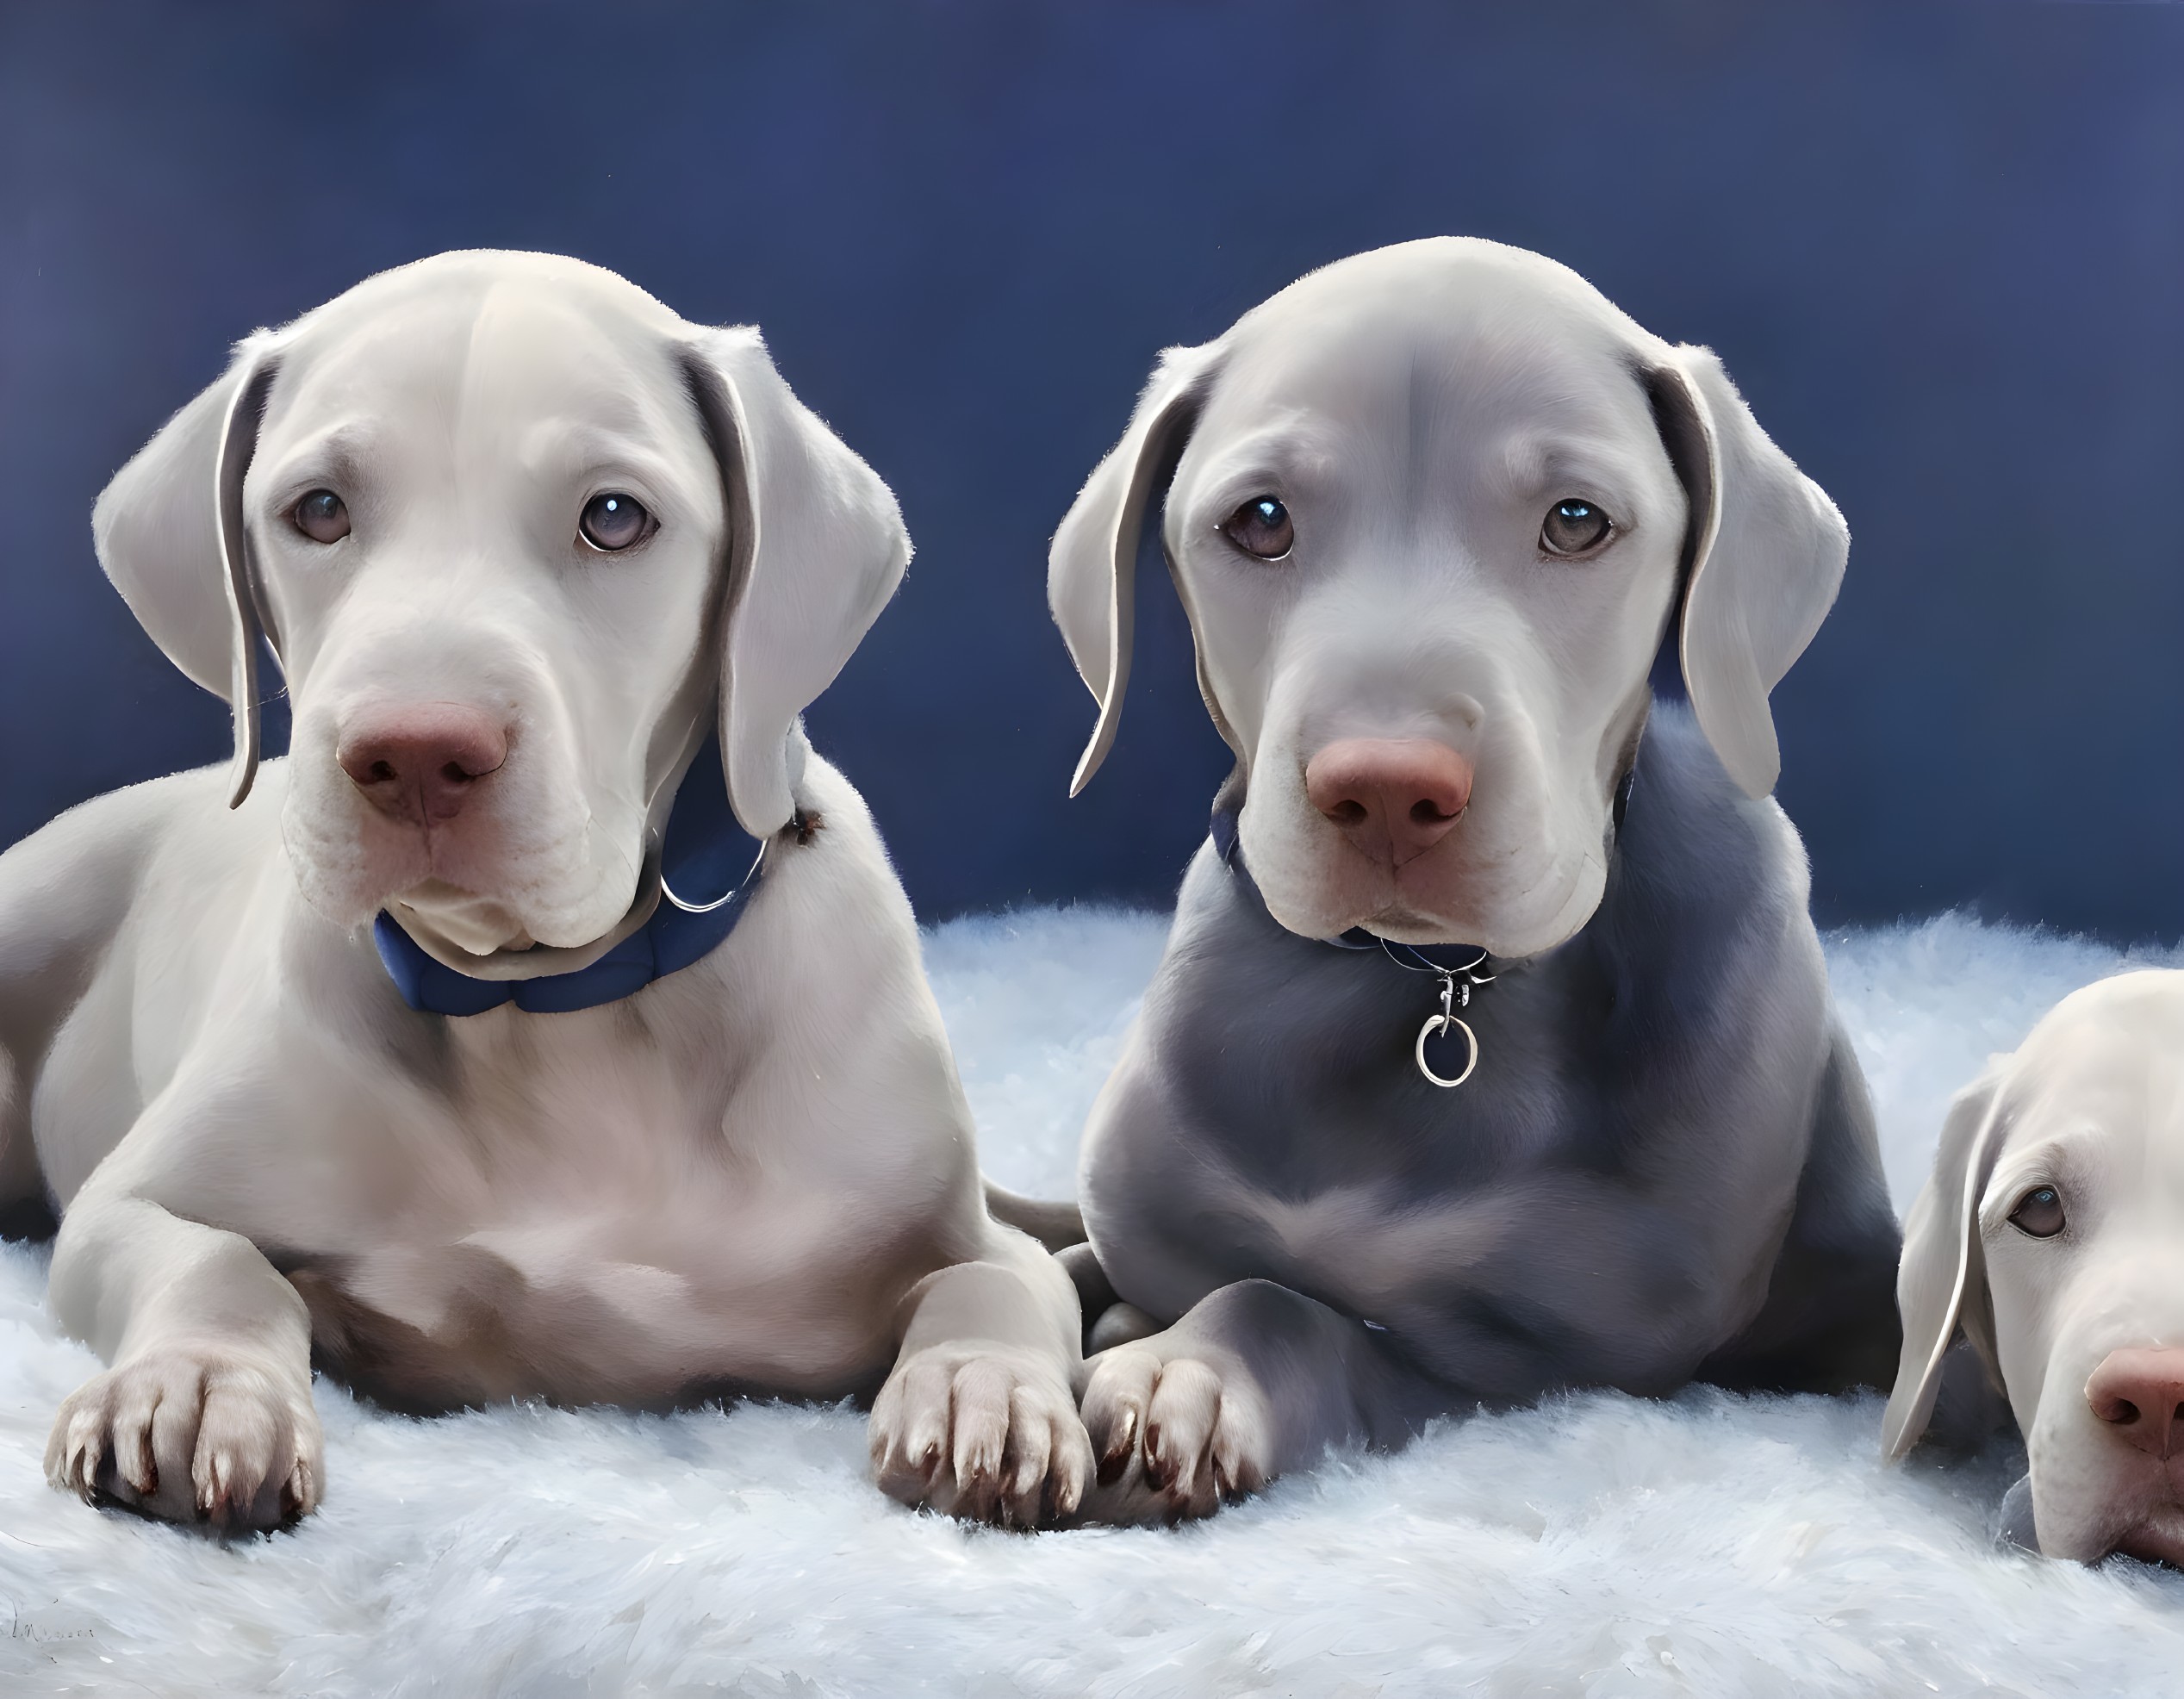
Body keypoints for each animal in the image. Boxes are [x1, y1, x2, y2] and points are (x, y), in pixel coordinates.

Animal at [0, 254, 1092, 1537]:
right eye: (316, 509)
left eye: (613, 518)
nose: (416, 752)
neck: (555, 1011)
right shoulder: (132, 1205)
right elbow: (214, 1259)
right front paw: (199, 1385)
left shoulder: (957, 1234)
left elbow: (993, 1280)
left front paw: (985, 1394)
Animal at [1048, 234, 1904, 1511]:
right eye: (1259, 520)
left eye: (1576, 521)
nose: (1385, 790)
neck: (1428, 994)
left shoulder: (1551, 1361)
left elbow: (1300, 1312)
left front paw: (1184, 1376)